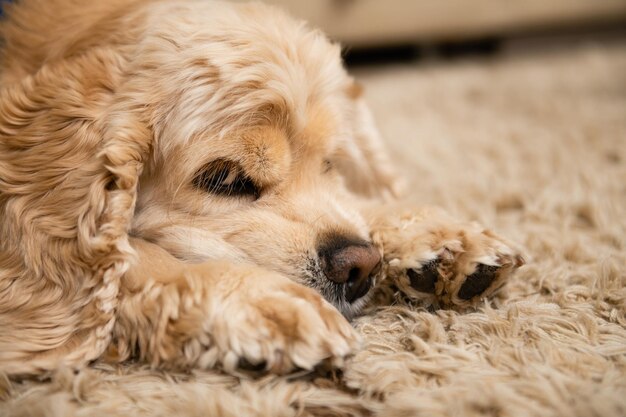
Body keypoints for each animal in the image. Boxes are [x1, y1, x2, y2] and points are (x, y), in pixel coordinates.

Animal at [0, 0, 520, 374]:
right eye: (226, 179)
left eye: (329, 163)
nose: (360, 266)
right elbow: (122, 261)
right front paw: (262, 301)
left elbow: (355, 206)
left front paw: (436, 238)